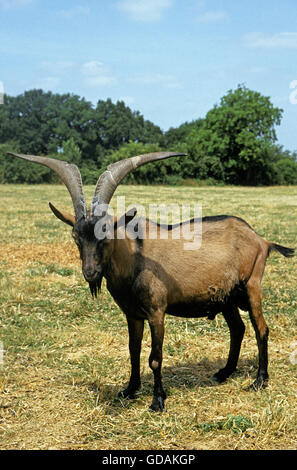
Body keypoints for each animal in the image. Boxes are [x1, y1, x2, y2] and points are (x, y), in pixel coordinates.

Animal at [7, 151, 294, 412]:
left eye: (105, 236)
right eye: (76, 237)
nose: (90, 272)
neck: (134, 257)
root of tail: (260, 239)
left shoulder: (157, 311)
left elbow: (155, 357)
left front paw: (157, 400)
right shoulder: (132, 314)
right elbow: (133, 351)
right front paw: (129, 390)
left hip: (251, 286)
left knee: (261, 329)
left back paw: (259, 381)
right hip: (226, 297)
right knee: (238, 328)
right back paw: (223, 373)